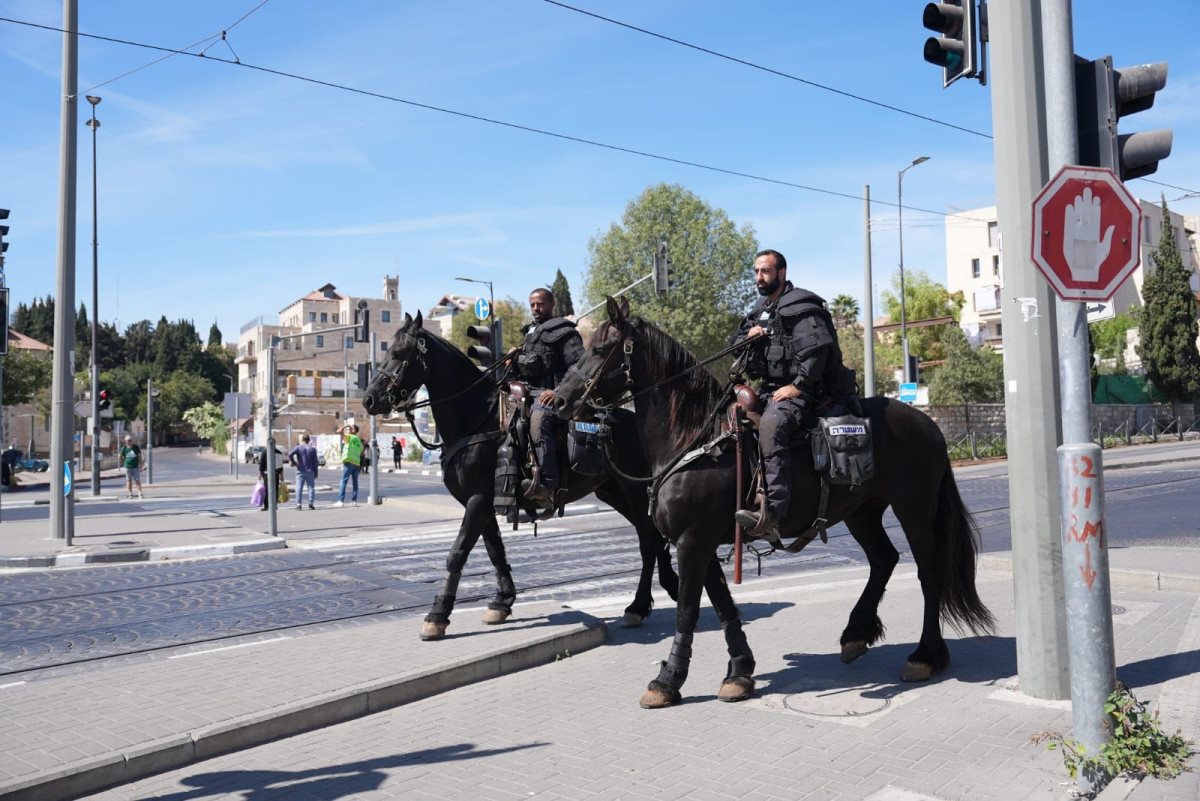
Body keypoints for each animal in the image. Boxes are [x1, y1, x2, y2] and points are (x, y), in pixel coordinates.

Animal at [552, 298, 993, 705]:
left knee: (928, 573)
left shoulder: (692, 542)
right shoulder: (703, 542)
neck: (693, 439)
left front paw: (668, 680)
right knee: (883, 560)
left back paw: (925, 655)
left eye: (598, 349)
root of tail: (928, 424)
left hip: (914, 510)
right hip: (861, 513)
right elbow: (724, 606)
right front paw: (739, 671)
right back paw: (856, 633)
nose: (556, 401)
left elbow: (688, 610)